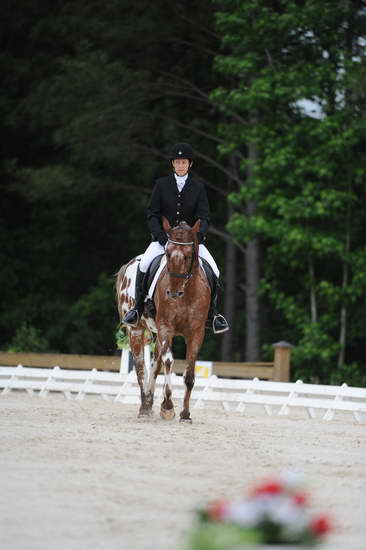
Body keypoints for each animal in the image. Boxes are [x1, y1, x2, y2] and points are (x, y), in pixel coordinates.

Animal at [116, 219, 210, 422]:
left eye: (188, 256)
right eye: (167, 253)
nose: (173, 293)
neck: (186, 293)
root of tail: (131, 262)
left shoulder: (196, 332)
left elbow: (189, 374)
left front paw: (185, 414)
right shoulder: (165, 327)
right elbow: (168, 362)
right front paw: (167, 406)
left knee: (154, 366)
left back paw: (149, 402)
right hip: (136, 329)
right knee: (141, 367)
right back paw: (144, 407)